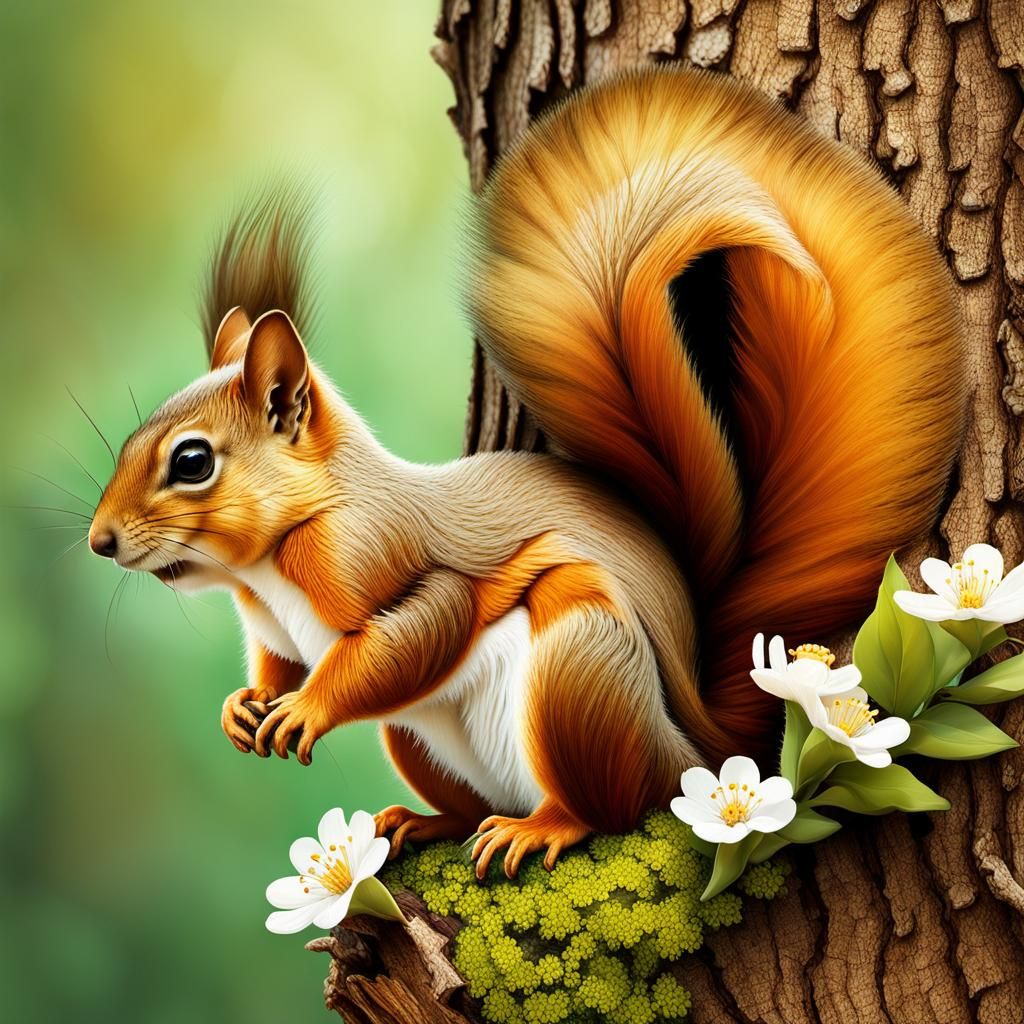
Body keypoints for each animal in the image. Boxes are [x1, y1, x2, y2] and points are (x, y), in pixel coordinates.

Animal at [88, 67, 965, 879]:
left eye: (192, 461)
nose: (99, 542)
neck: (269, 566)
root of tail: (694, 746)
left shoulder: (383, 558)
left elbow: (419, 629)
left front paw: (306, 709)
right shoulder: (271, 627)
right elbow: (280, 664)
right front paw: (245, 706)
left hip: (580, 669)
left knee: (613, 806)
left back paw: (544, 826)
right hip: (418, 737)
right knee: (468, 799)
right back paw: (421, 822)